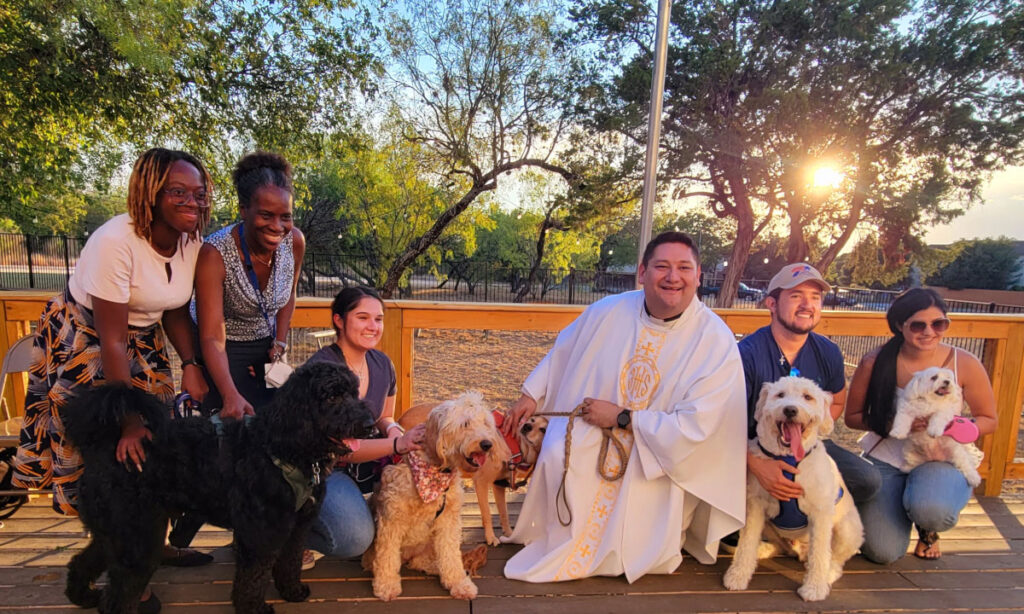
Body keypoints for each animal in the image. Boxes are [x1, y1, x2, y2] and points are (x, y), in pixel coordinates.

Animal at [366, 392, 505, 597]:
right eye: (465, 423)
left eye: (486, 423)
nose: (487, 444)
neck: (435, 473)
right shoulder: (391, 519)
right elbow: (387, 555)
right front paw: (386, 585)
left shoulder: (448, 520)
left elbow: (451, 553)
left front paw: (458, 582)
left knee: (422, 561)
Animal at [720, 376, 864, 601]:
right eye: (780, 395)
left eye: (808, 397)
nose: (790, 410)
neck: (788, 458)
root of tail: (799, 551)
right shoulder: (755, 506)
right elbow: (746, 543)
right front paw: (738, 575)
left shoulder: (821, 513)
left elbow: (820, 553)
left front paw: (814, 588)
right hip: (770, 527)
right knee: (780, 547)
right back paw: (763, 549)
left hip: (848, 530)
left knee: (834, 559)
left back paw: (828, 574)